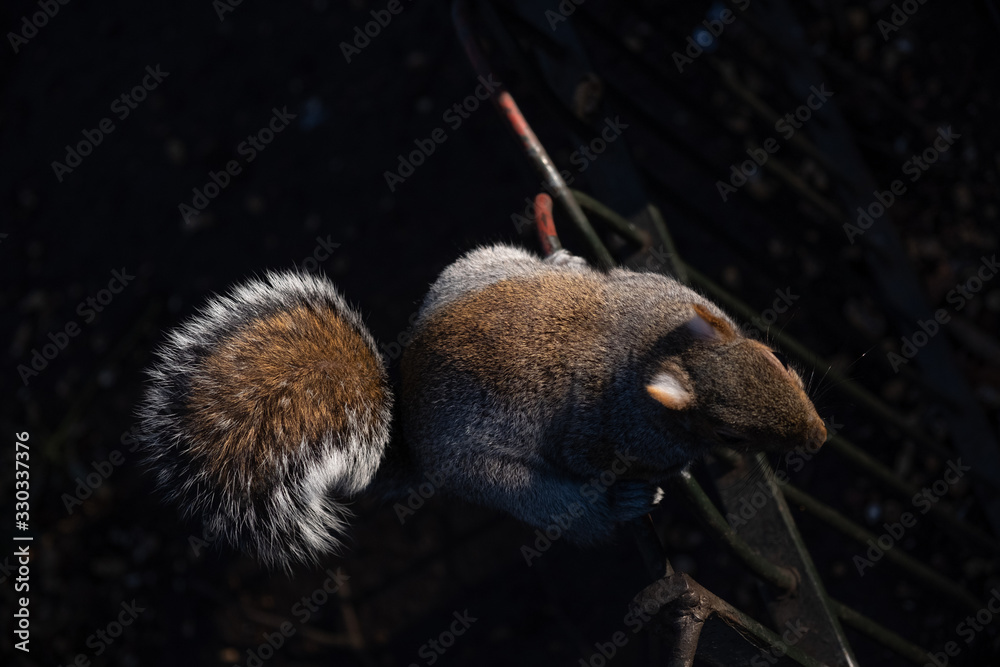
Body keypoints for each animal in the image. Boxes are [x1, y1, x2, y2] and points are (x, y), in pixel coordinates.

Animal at [138, 244, 827, 568]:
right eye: (731, 434)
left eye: (771, 356)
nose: (818, 439)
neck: (653, 345)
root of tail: (411, 430)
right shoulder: (603, 431)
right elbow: (598, 460)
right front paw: (657, 479)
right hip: (505, 482)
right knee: (574, 510)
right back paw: (622, 505)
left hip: (475, 265)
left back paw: (558, 258)